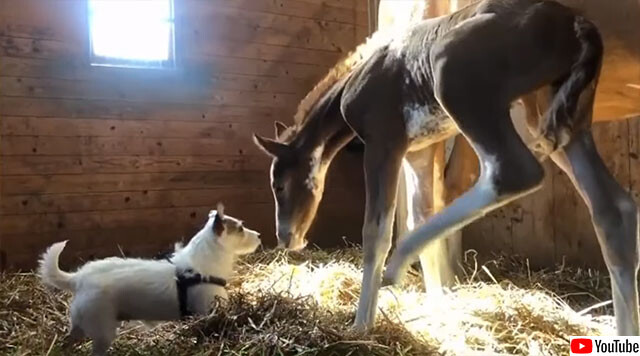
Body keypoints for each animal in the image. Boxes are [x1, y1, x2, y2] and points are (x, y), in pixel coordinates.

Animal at [38, 203, 260, 356]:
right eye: (240, 228)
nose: (258, 235)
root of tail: (78, 278)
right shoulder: (207, 311)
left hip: (80, 325)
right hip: (102, 330)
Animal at [255, 0, 640, 334]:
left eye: (278, 185)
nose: (285, 238)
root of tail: (575, 24)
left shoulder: (384, 143)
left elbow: (377, 231)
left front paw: (361, 325)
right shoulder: (416, 151)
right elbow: (420, 213)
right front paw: (437, 305)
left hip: (457, 83)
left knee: (513, 171)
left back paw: (398, 262)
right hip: (560, 119)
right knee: (614, 208)